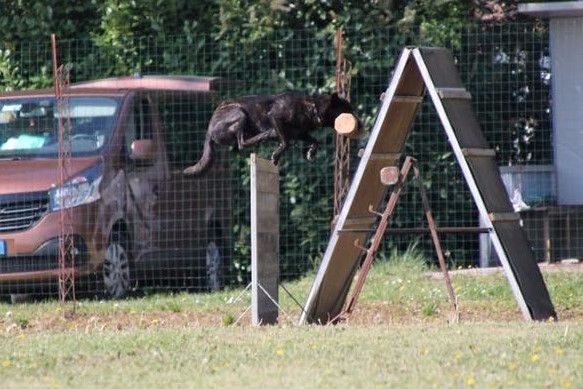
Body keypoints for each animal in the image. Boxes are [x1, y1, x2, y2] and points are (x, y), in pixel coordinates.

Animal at [185, 90, 358, 175]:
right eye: (347, 110)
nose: (360, 124)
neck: (312, 108)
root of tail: (209, 130)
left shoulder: (300, 134)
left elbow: (315, 141)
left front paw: (310, 153)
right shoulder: (275, 118)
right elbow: (286, 142)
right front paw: (276, 155)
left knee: (238, 145)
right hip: (239, 113)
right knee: (242, 143)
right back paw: (267, 134)